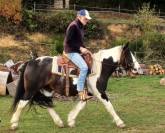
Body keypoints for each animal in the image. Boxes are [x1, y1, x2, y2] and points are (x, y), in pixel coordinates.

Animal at [10, 43, 142, 130]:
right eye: (129, 55)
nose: (139, 69)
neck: (99, 68)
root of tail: (31, 62)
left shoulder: (88, 93)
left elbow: (81, 105)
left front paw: (71, 120)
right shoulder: (99, 92)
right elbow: (109, 106)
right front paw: (120, 122)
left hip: (46, 90)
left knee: (46, 103)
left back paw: (59, 122)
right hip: (31, 90)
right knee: (22, 103)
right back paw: (14, 124)